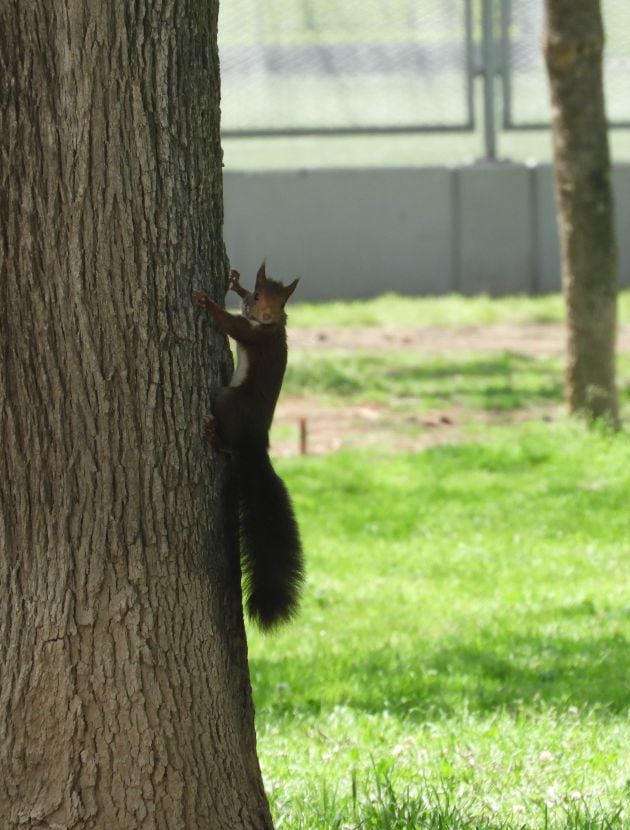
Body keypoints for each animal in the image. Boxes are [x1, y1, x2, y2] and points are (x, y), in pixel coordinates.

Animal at [192, 262, 304, 630]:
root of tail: (257, 445)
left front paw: (208, 302)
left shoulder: (252, 334)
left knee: (229, 448)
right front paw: (235, 283)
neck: (268, 326)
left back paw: (214, 435)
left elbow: (230, 324)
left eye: (280, 303)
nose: (266, 314)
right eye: (257, 295)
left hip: (228, 399)